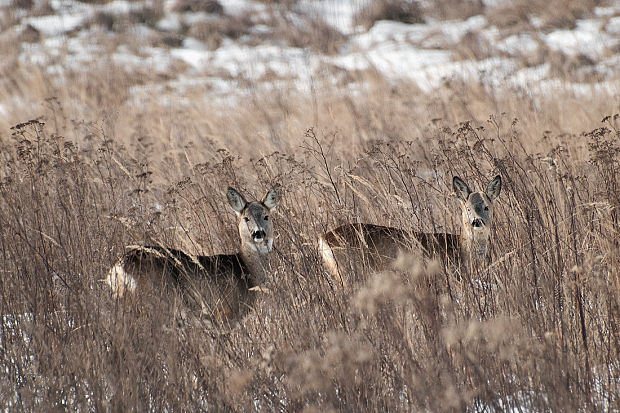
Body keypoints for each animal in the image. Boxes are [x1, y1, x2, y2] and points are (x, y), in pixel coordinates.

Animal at [105, 183, 282, 322]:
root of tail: (118, 268)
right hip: (155, 300)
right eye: (246, 218)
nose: (258, 233)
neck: (245, 270)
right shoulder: (224, 313)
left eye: (266, 216)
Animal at [318, 175, 502, 286]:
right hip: (349, 272)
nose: (476, 222)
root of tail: (323, 238)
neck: (461, 251)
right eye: (467, 208)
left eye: (486, 207)